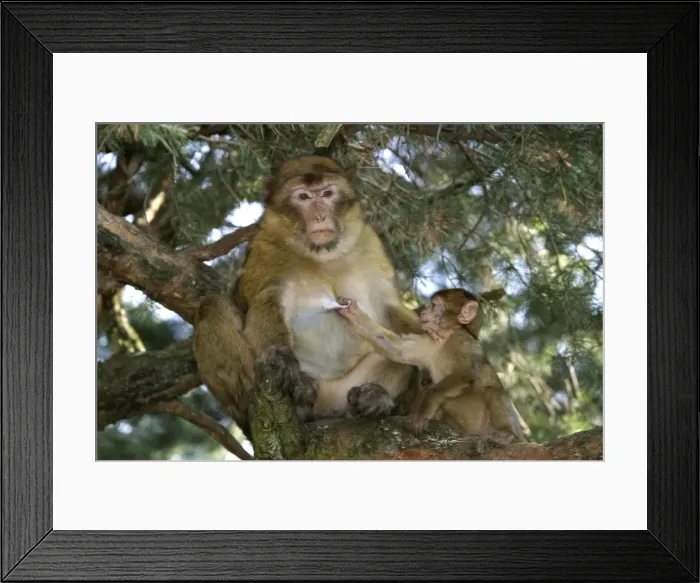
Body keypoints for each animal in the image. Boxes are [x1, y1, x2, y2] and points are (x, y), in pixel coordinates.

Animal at [221, 155, 423, 429]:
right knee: (212, 305)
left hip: (344, 390)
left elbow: (388, 307)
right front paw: (282, 359)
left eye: (327, 193)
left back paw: (374, 400)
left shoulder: (369, 243)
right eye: (303, 197)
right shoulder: (266, 249)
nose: (319, 216)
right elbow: (266, 301)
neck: (323, 255)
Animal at [334, 288, 526, 445]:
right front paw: (352, 312)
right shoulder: (429, 343)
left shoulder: (462, 342)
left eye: (434, 305)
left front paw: (422, 411)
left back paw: (507, 434)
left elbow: (465, 373)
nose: (425, 311)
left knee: (492, 391)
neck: (445, 339)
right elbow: (397, 349)